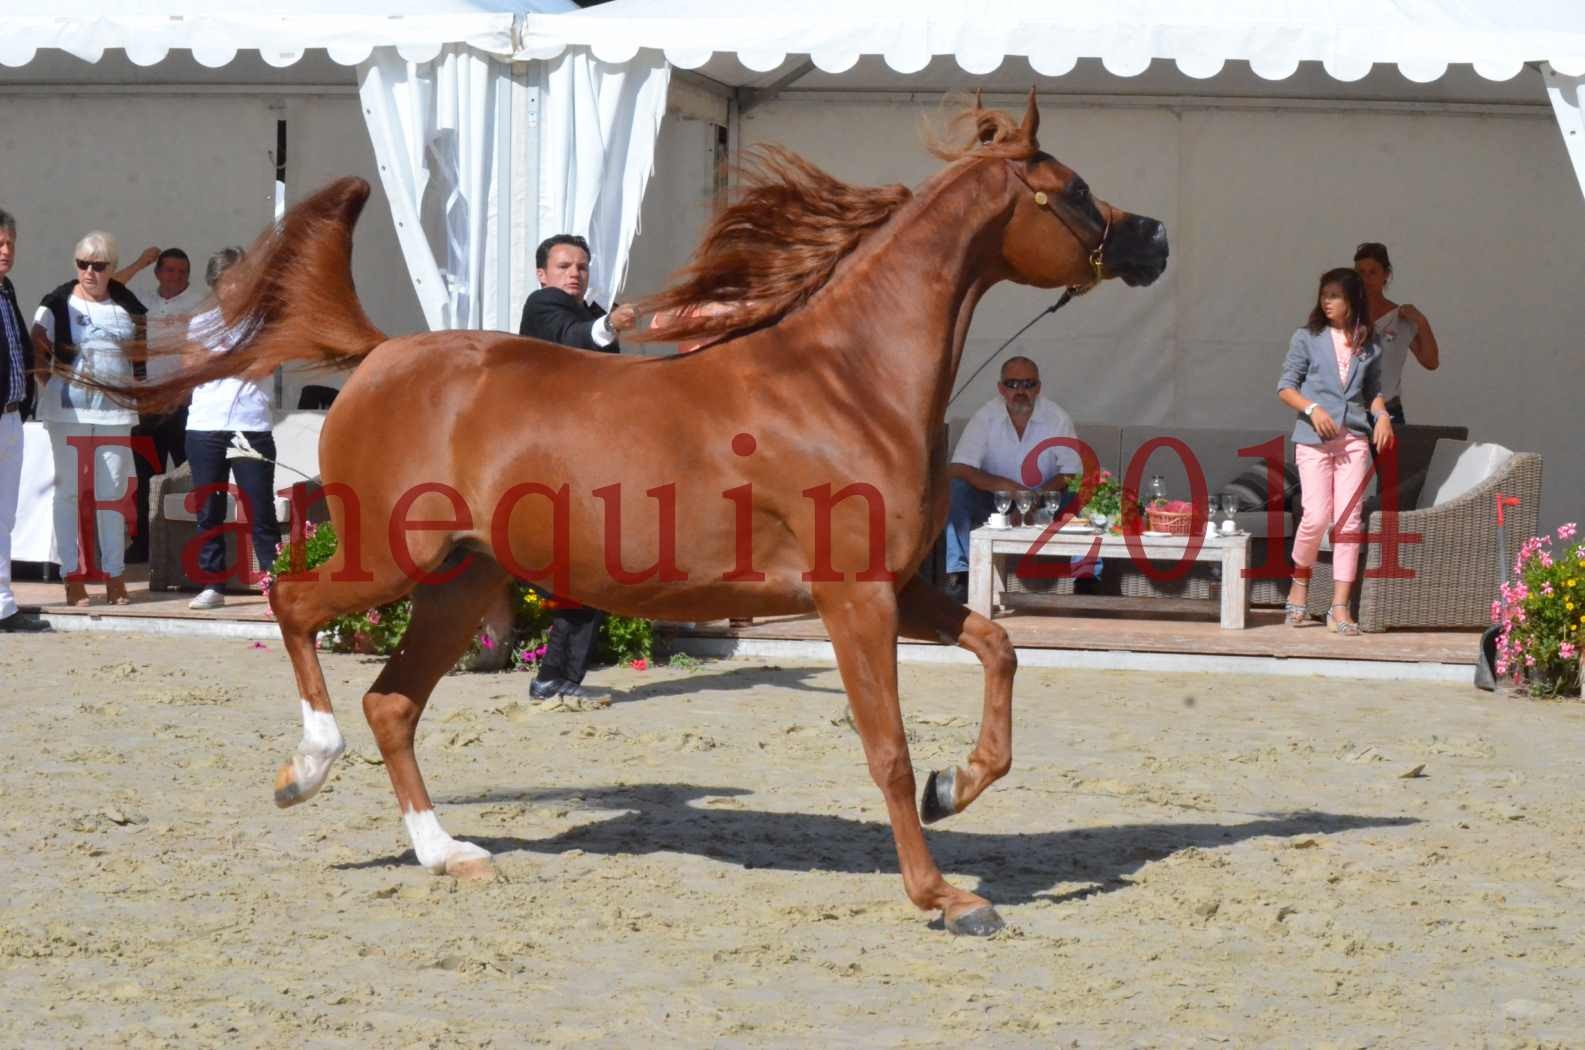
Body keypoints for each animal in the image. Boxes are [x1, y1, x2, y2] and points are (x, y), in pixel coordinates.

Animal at [142, 94, 1172, 938]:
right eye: (1075, 189)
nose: (1154, 239)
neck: (848, 383)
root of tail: (382, 354)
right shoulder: (855, 601)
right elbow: (884, 749)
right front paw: (945, 897)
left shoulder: (902, 589)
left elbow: (998, 649)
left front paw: (954, 786)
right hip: (390, 557)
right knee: (291, 605)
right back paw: (307, 769)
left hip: (462, 581)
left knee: (392, 700)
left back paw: (447, 853)